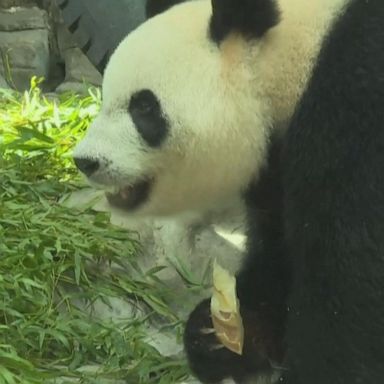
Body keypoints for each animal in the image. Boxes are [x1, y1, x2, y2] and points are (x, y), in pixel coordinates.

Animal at [73, 0, 384, 382]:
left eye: (143, 106)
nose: (85, 161)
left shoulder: (358, 121)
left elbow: (351, 285)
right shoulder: (274, 166)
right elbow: (277, 253)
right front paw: (218, 335)